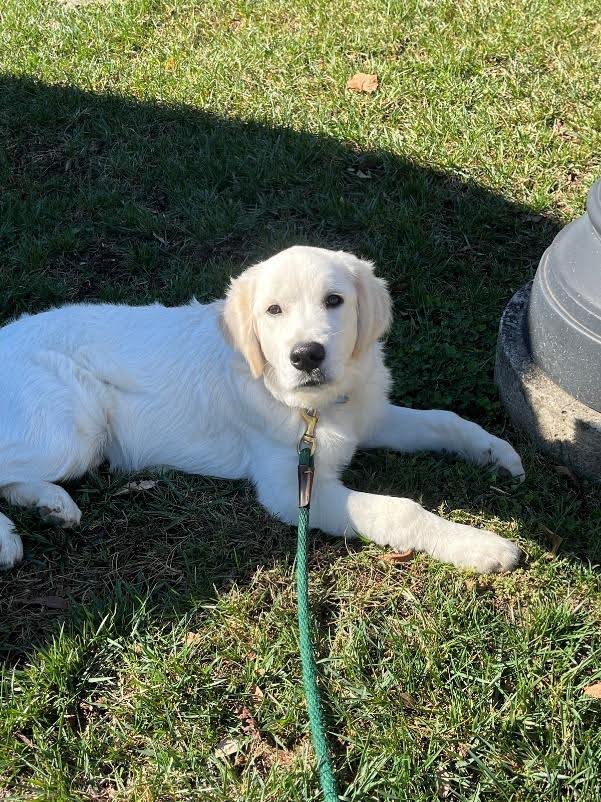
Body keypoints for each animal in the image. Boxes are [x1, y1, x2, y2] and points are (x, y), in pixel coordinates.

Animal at [0, 244, 524, 568]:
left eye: (334, 301)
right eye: (273, 311)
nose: (307, 355)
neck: (310, 406)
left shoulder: (368, 415)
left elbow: (445, 420)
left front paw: (496, 452)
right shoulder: (291, 488)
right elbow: (400, 511)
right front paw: (481, 546)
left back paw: (52, 505)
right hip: (72, 429)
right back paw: (9, 536)